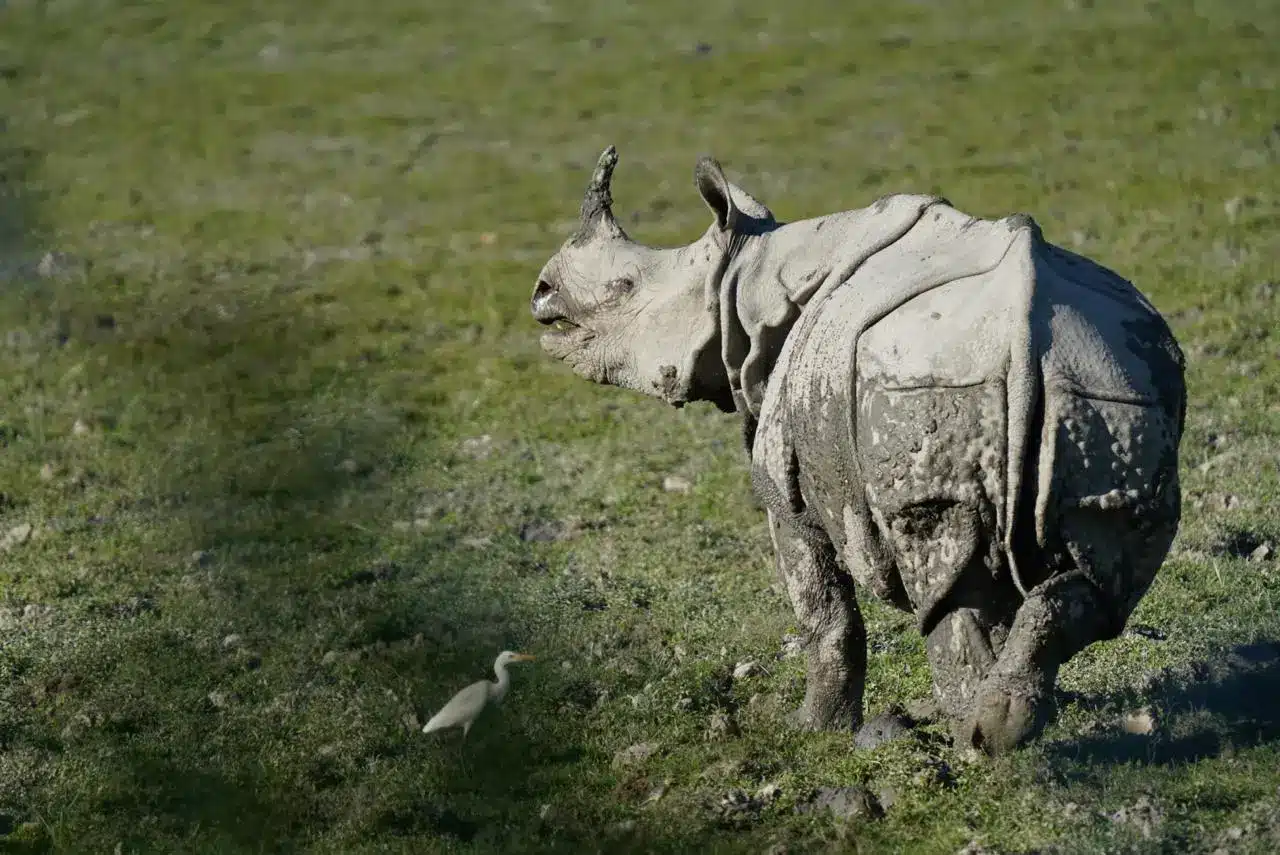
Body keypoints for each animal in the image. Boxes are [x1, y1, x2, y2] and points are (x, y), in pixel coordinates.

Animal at [527, 147, 1177, 752]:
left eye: (625, 287)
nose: (541, 293)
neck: (746, 275)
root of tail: (1025, 329)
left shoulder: (783, 484)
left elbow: (822, 610)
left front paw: (814, 732)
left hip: (926, 386)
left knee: (944, 569)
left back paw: (969, 741)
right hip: (1113, 396)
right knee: (1096, 578)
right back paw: (1002, 729)